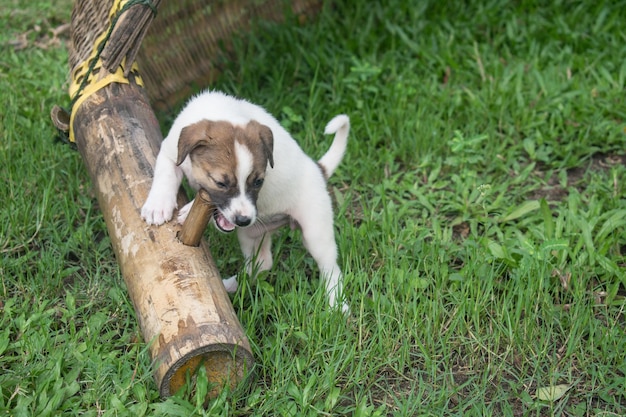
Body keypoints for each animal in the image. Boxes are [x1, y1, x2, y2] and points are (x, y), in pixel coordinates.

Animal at [140, 91, 352, 312]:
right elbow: (165, 175)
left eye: (259, 181)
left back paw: (338, 304)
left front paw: (186, 210)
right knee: (261, 264)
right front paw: (157, 206)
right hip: (251, 235)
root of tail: (319, 169)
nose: (243, 220)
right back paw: (232, 285)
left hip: (315, 232)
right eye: (220, 183)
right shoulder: (169, 151)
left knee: (331, 269)